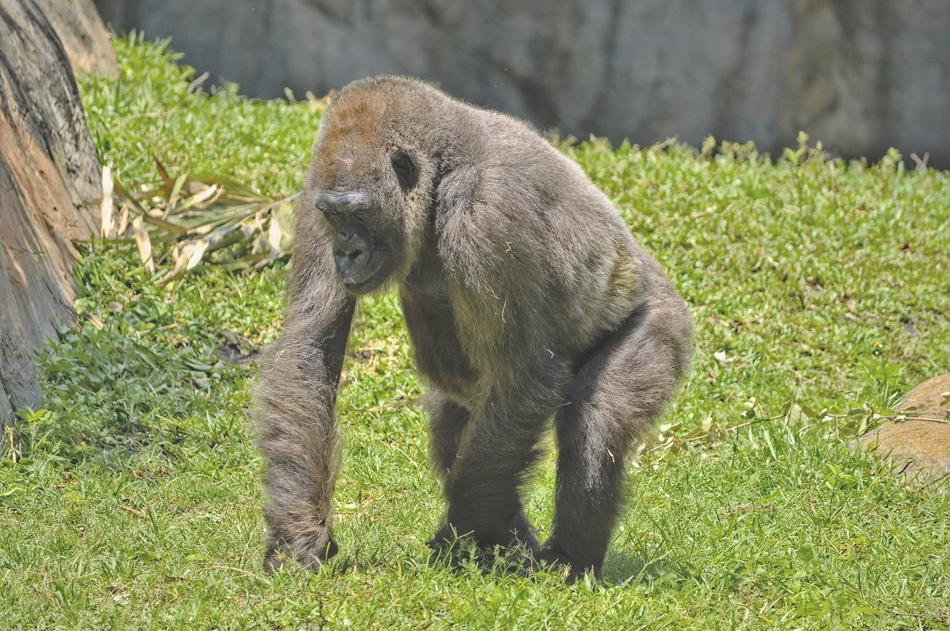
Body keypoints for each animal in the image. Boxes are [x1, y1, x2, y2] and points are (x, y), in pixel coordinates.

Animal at [253, 76, 693, 583]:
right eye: (334, 216)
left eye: (358, 214)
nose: (346, 253)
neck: (442, 170)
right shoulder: (315, 189)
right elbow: (309, 347)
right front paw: (298, 535)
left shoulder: (490, 213)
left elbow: (527, 377)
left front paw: (461, 532)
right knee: (460, 424)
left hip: (661, 319)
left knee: (598, 421)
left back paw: (570, 559)